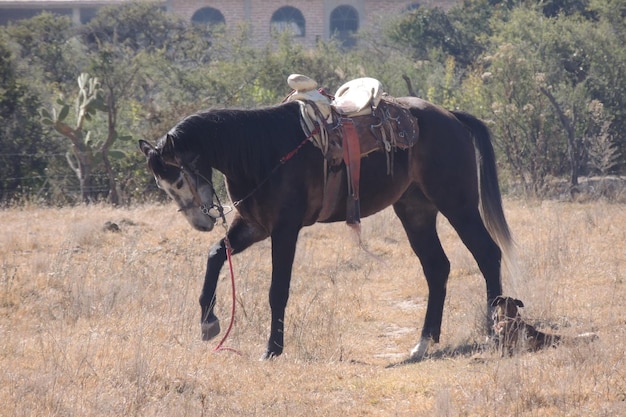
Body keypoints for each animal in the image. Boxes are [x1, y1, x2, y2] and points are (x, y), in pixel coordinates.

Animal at [138, 95, 512, 360]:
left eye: (178, 178)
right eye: (163, 184)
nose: (201, 222)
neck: (262, 152)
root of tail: (452, 117)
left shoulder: (284, 229)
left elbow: (277, 289)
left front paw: (272, 349)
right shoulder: (255, 226)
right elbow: (216, 254)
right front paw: (208, 322)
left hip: (458, 206)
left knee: (487, 254)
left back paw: (493, 331)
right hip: (415, 212)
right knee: (437, 268)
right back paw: (424, 343)